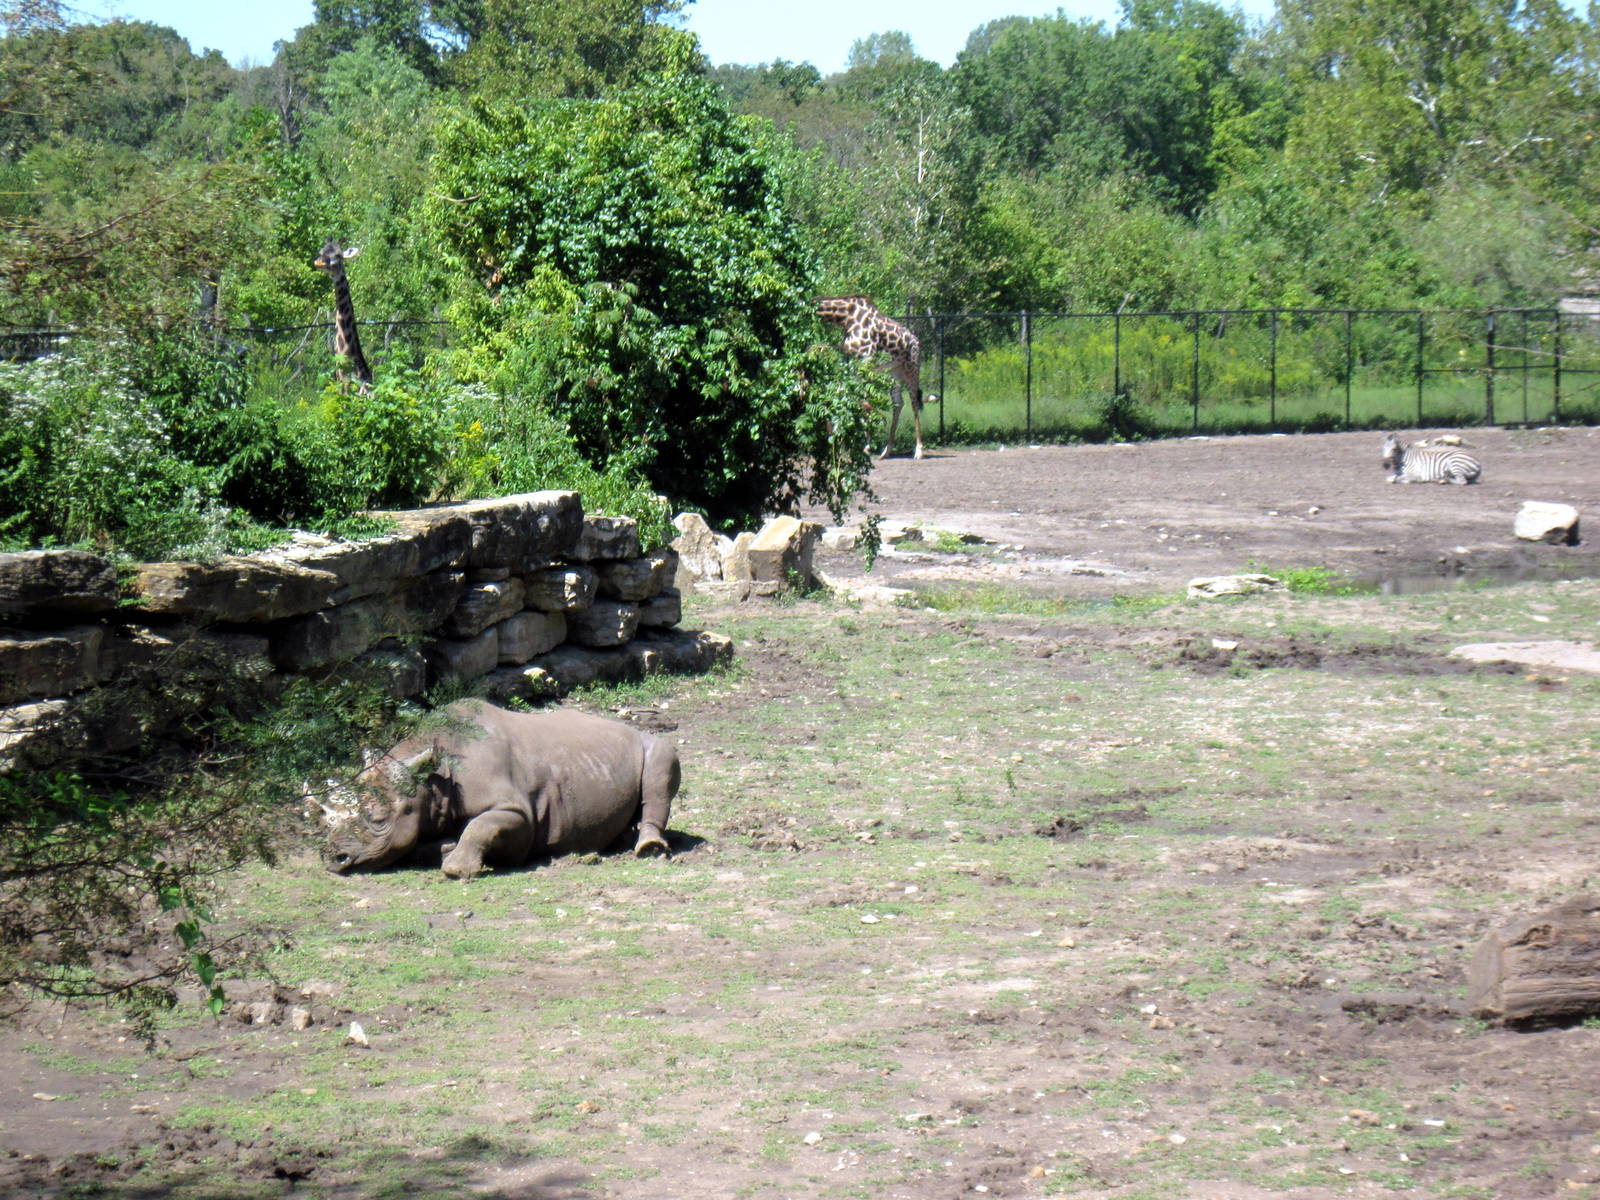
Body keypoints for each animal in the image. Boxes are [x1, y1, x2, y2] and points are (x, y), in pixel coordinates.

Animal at [323, 699, 678, 879]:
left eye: (379, 820)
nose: (334, 859)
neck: (435, 781)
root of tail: (625, 727)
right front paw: (444, 847)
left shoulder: (520, 814)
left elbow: (482, 826)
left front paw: (455, 868)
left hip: (646, 741)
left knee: (661, 761)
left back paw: (648, 849)